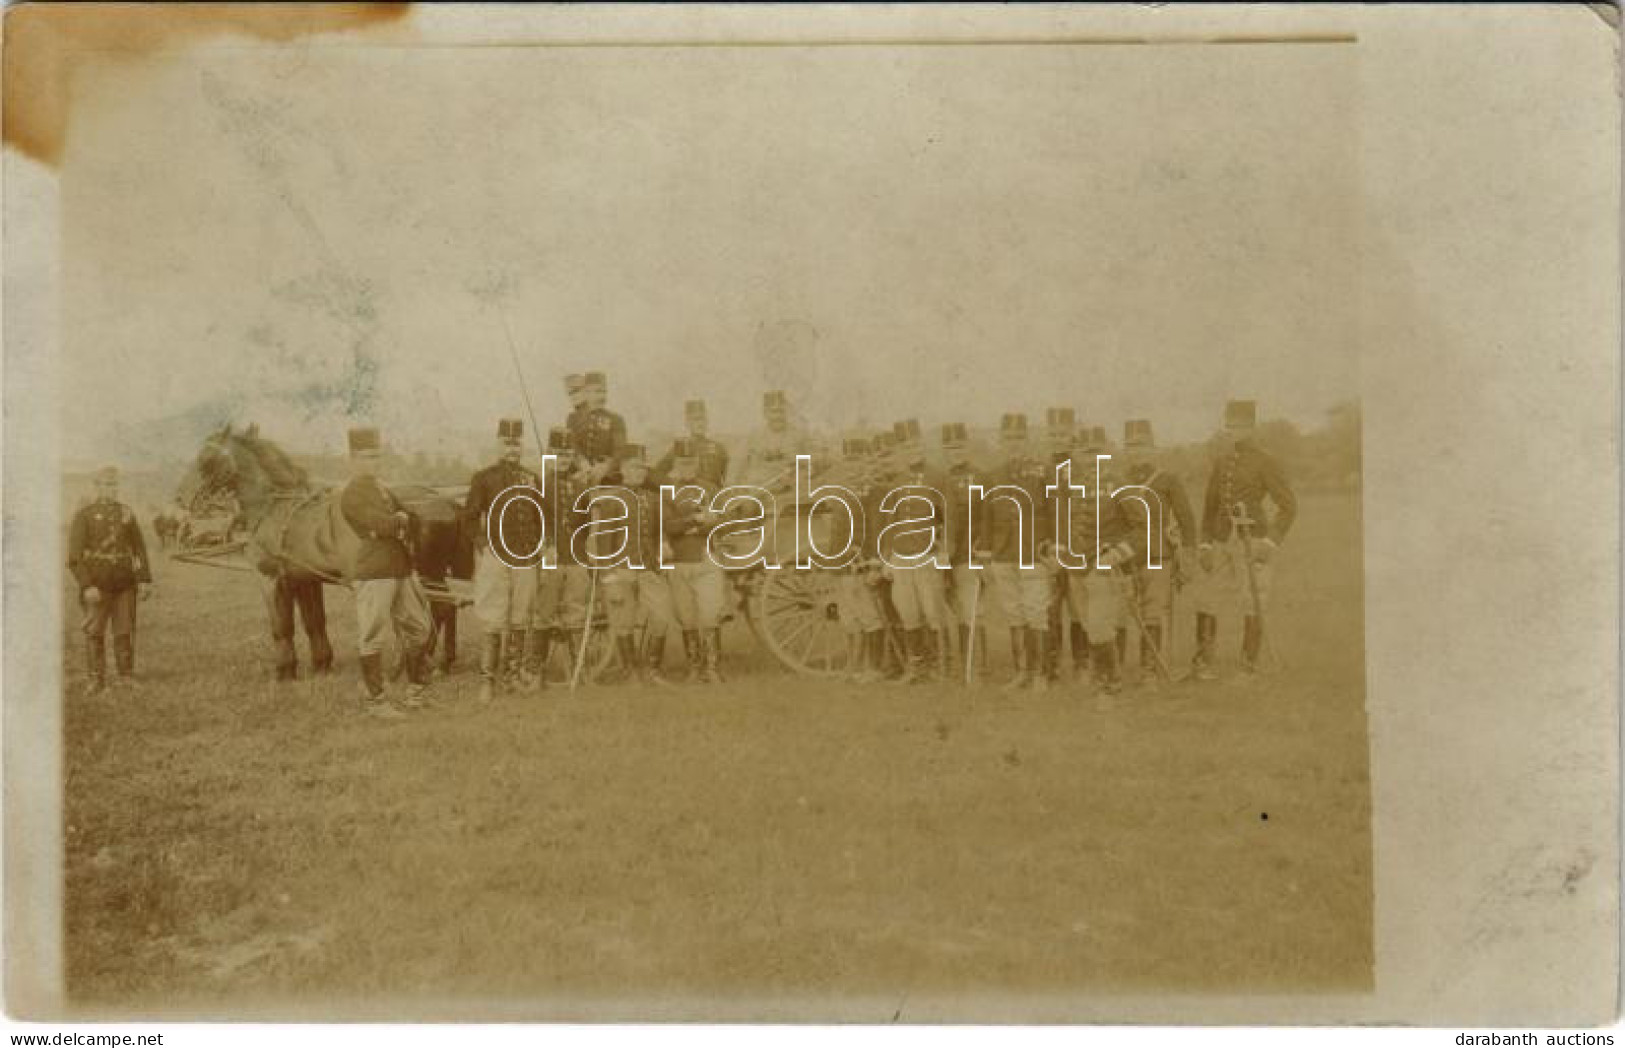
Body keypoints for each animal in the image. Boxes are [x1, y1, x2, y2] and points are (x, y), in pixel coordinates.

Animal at [178, 422, 471, 679]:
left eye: (206, 458)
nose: (184, 498)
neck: (273, 508)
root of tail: (446, 502)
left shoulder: (270, 578)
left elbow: (281, 627)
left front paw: (285, 671)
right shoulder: (304, 579)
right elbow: (314, 621)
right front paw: (321, 664)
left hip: (424, 574)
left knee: (438, 610)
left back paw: (419, 662)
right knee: (447, 607)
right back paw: (441, 661)